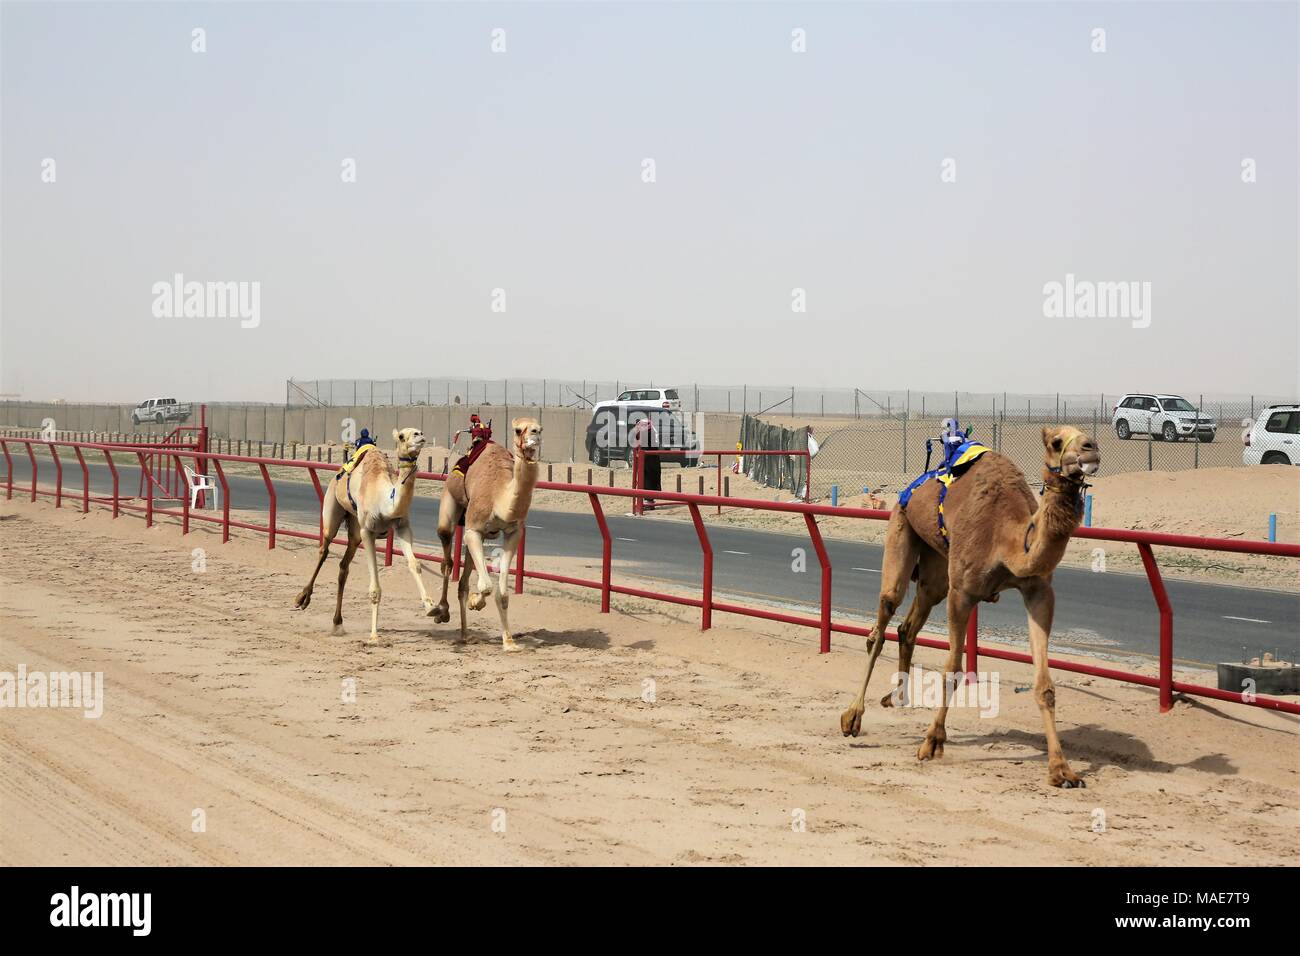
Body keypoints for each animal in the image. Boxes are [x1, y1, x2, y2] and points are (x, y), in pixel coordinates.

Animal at [293, 428, 435, 642]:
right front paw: (374, 635)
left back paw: (337, 623)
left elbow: (415, 564)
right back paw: (302, 598)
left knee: (344, 567)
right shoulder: (368, 531)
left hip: (354, 528)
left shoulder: (402, 527)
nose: (420, 436)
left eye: (418, 431)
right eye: (402, 436)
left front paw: (432, 608)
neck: (385, 499)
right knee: (324, 550)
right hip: (333, 510)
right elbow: (375, 586)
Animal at [432, 418, 541, 649]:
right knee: (447, 558)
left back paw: (465, 634)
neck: (500, 497)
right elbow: (487, 586)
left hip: (477, 535)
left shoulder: (513, 533)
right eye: (518, 429)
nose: (534, 435)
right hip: (450, 504)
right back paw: (441, 611)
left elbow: (502, 593)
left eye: (539, 427)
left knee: (463, 580)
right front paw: (476, 602)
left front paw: (509, 642)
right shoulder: (473, 528)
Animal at [840, 425, 1100, 788]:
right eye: (1056, 442)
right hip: (901, 529)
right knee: (881, 622)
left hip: (936, 567)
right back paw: (853, 717)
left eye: (1085, 436)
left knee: (908, 626)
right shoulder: (962, 593)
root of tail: (912, 487)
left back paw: (900, 697)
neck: (1007, 539)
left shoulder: (1038, 591)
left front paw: (1061, 770)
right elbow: (952, 668)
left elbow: (1044, 684)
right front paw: (931, 742)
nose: (1092, 448)